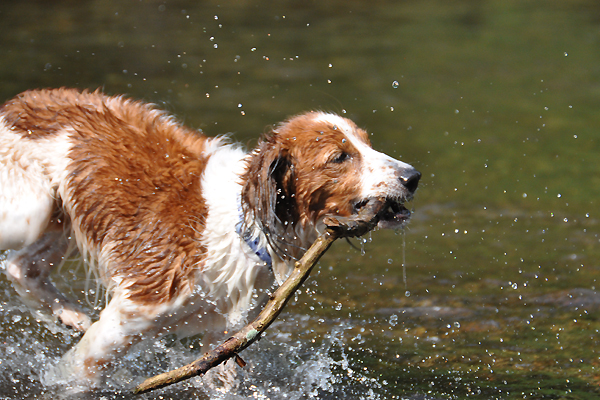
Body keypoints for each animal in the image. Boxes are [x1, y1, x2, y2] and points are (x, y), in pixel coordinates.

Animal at [0, 88, 422, 388]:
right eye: (339, 157)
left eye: (367, 143)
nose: (413, 176)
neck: (243, 227)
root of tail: (22, 100)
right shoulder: (131, 312)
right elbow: (75, 376)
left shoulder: (224, 341)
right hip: (31, 211)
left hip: (58, 221)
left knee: (22, 266)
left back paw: (67, 313)